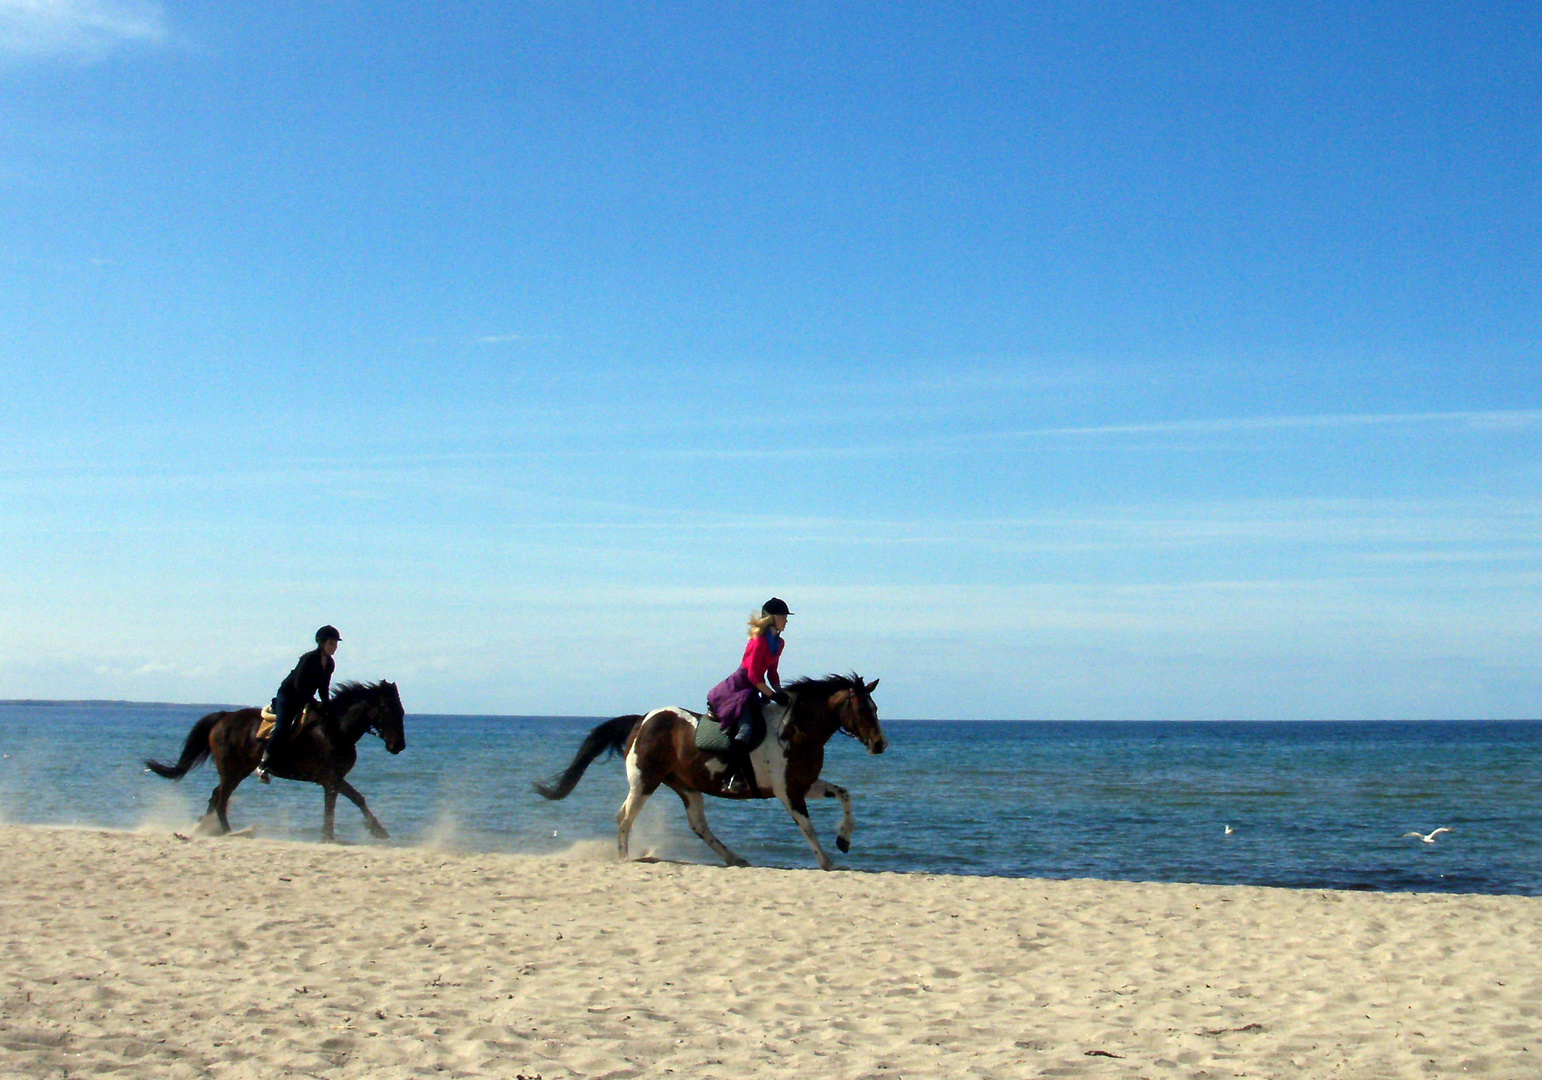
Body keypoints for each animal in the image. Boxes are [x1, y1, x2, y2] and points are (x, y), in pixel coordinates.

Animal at [144, 681, 407, 845]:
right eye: (388, 710)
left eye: (402, 711)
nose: (399, 746)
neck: (337, 729)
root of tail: (223, 717)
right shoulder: (331, 778)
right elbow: (353, 800)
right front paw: (376, 830)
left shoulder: (332, 781)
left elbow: (339, 805)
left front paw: (332, 836)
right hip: (232, 772)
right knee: (221, 799)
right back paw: (229, 832)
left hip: (235, 771)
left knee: (215, 795)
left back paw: (205, 829)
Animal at [536, 675, 888, 870]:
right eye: (863, 709)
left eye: (876, 708)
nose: (880, 745)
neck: (795, 731)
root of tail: (642, 719)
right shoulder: (788, 792)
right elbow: (807, 828)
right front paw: (827, 861)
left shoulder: (804, 784)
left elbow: (845, 794)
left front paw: (844, 839)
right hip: (644, 781)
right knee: (624, 816)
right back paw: (623, 858)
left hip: (687, 787)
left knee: (698, 826)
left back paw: (735, 859)